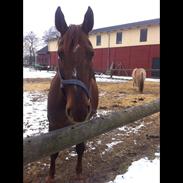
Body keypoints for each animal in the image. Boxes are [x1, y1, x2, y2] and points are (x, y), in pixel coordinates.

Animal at [46, 6, 99, 183]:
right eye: (60, 53)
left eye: (91, 53)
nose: (79, 110)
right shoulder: (53, 125)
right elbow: (53, 152)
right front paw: (50, 176)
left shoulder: (83, 124)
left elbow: (80, 147)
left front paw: (79, 172)